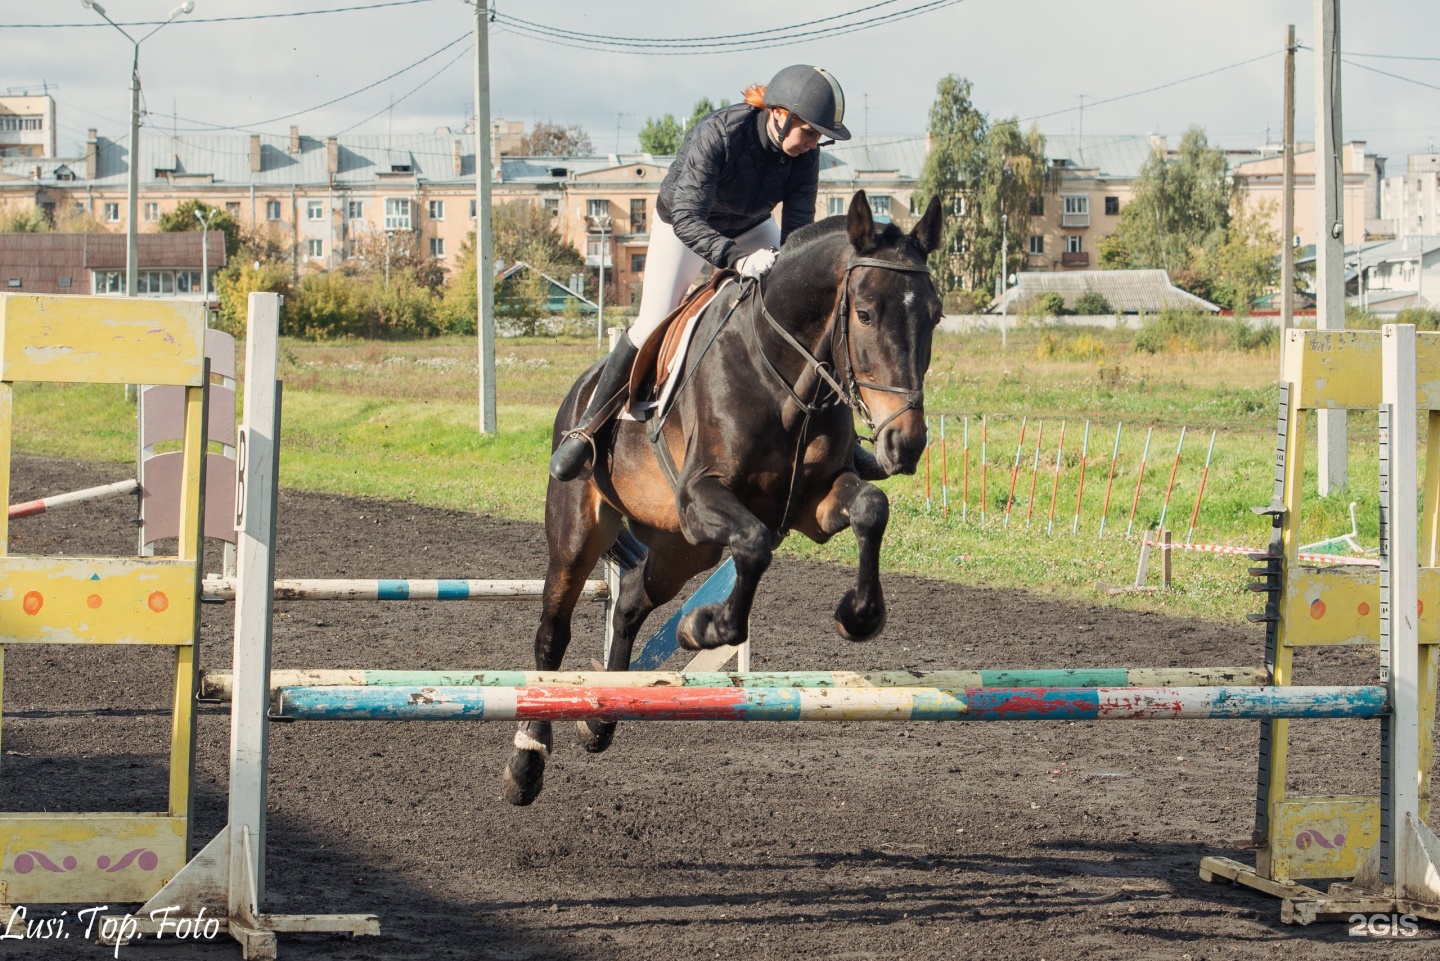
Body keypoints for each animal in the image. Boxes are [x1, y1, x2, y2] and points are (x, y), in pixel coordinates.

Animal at [504, 187, 944, 806]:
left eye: (935, 314)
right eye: (864, 313)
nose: (905, 443)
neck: (783, 375)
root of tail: (579, 390)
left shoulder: (812, 503)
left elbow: (869, 509)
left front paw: (858, 617)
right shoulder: (700, 499)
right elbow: (755, 546)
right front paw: (703, 628)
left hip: (682, 549)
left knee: (632, 600)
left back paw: (601, 718)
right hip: (581, 534)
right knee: (552, 633)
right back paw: (527, 761)